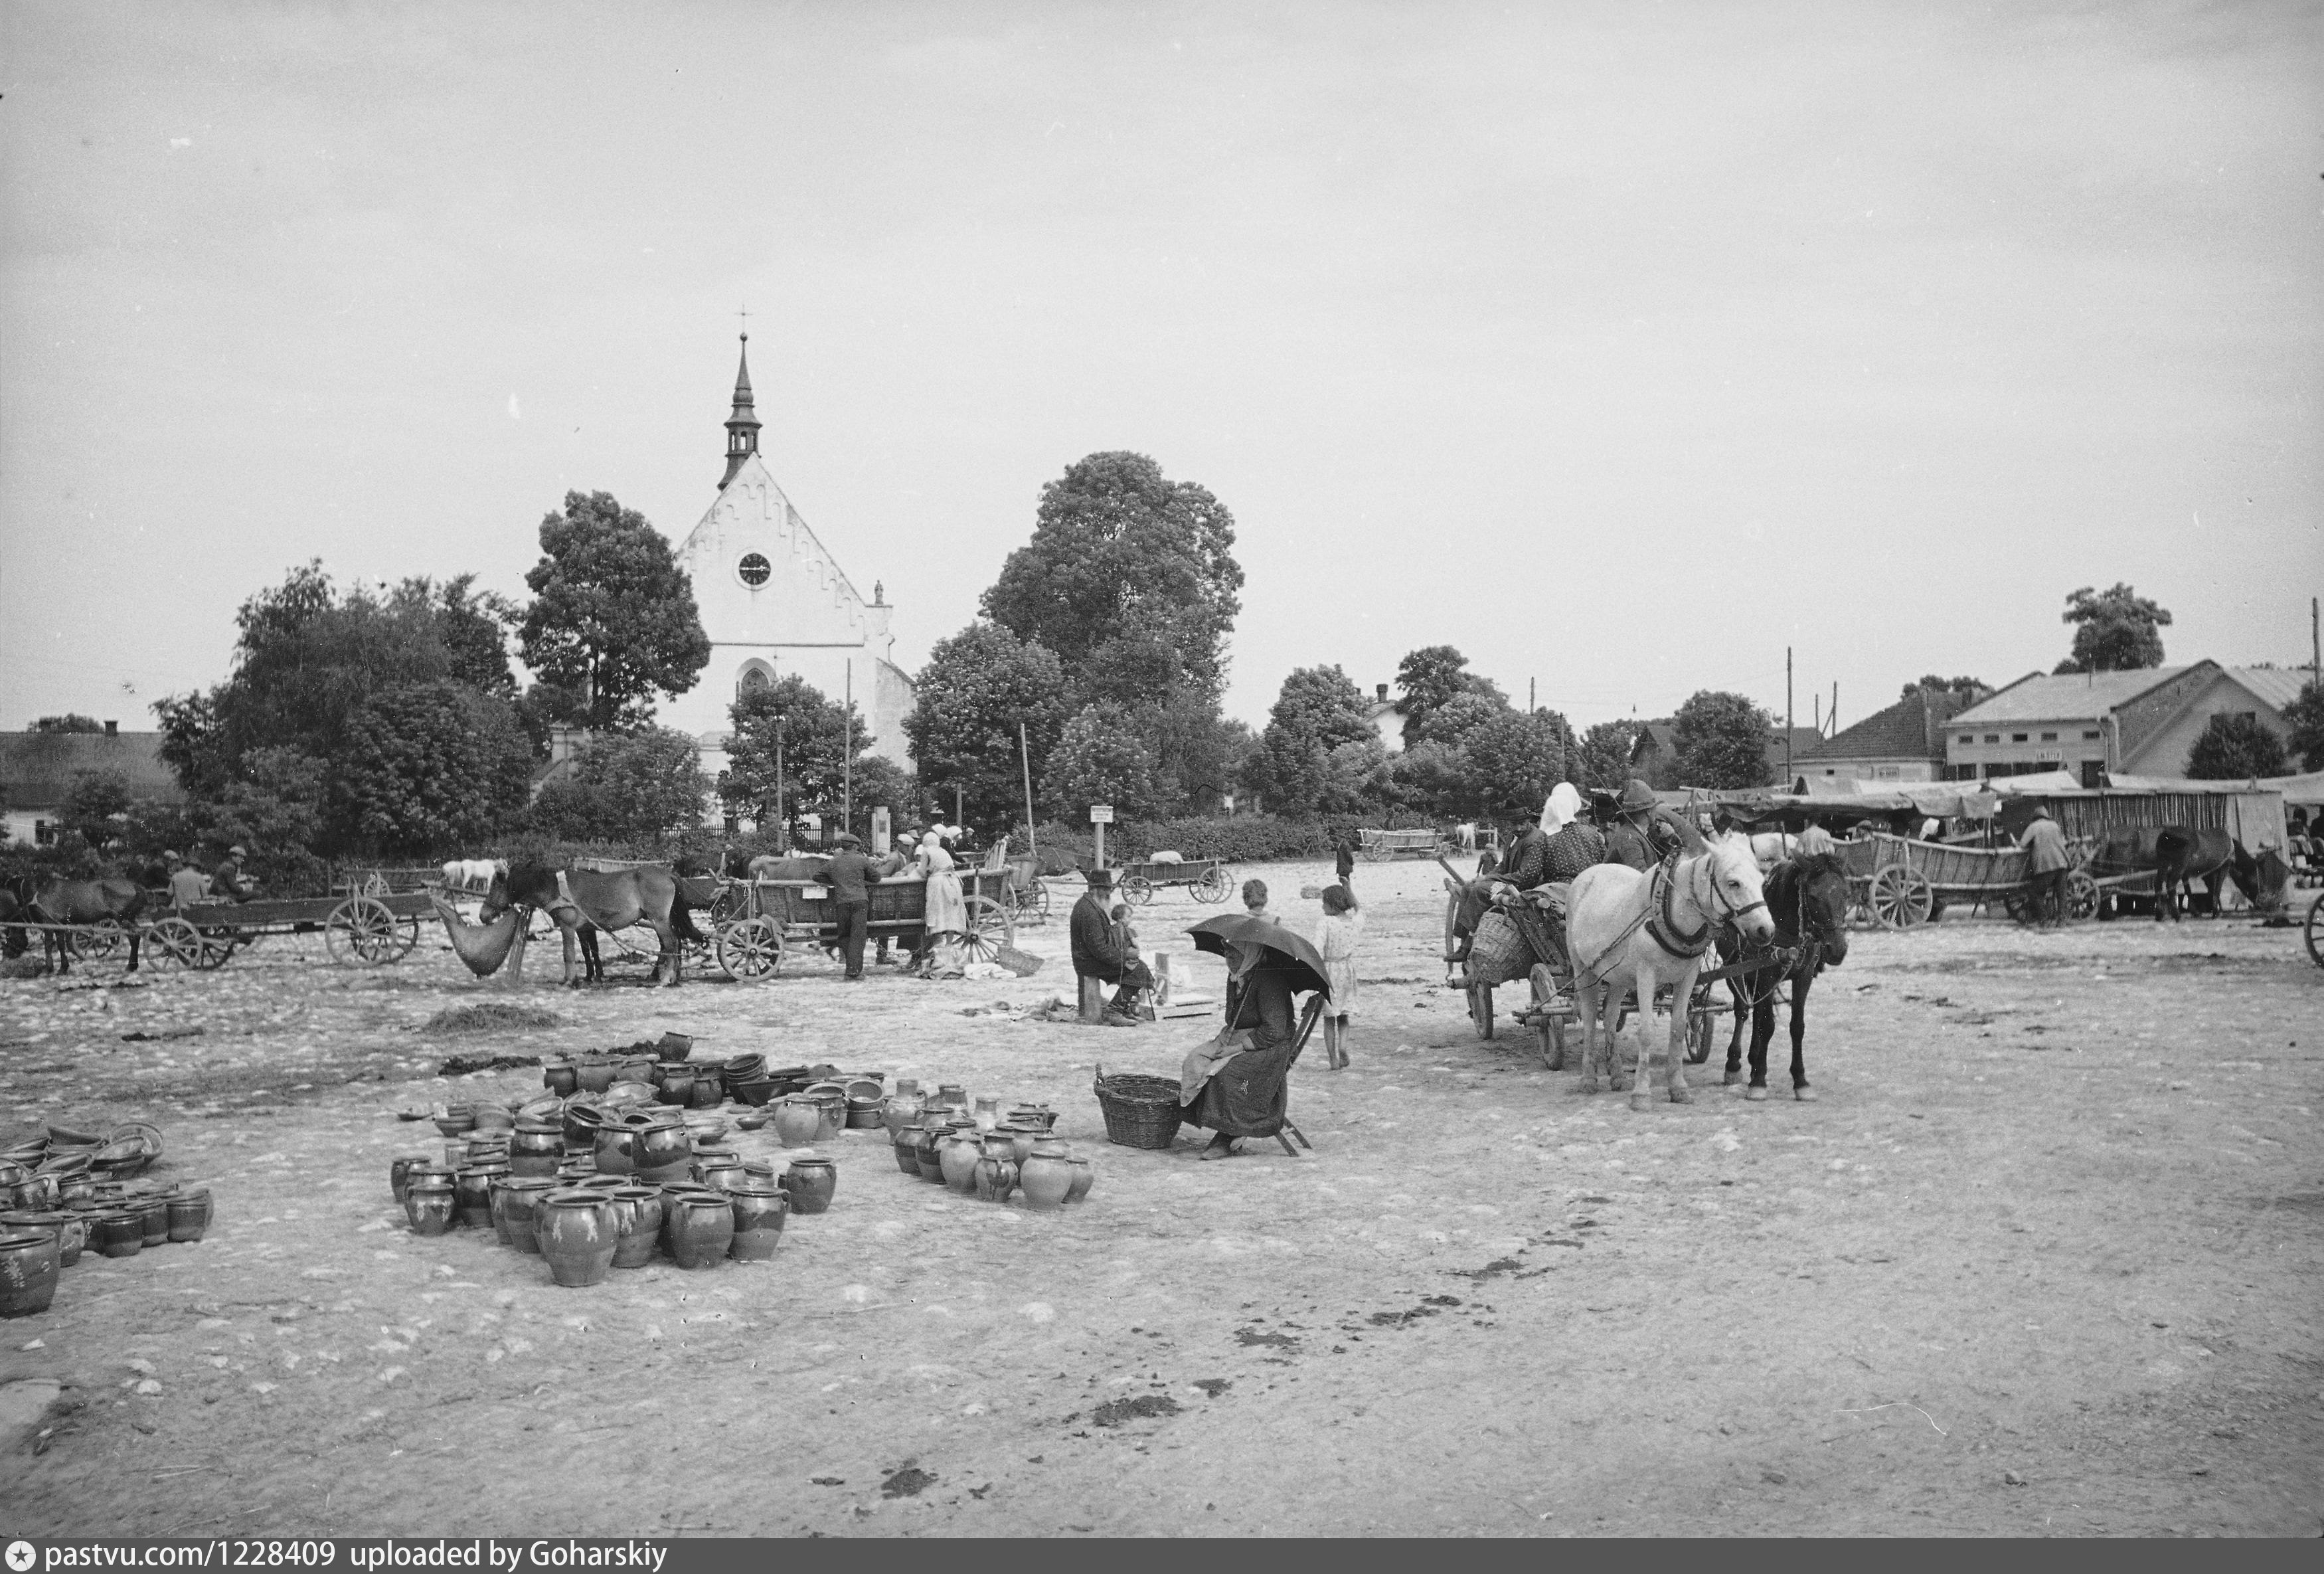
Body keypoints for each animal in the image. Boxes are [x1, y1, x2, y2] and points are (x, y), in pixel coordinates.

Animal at [4, 869, 146, 972]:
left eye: (10, 933)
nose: (8, 953)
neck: (37, 893)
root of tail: (136, 886)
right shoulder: (60, 925)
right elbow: (62, 945)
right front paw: (63, 967)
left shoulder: (48, 923)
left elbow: (48, 945)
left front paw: (50, 968)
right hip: (131, 919)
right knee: (137, 937)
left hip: (123, 919)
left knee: (134, 939)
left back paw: (131, 965)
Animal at [483, 860, 702, 981]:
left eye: (495, 886)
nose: (483, 915)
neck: (555, 889)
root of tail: (668, 874)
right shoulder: (584, 928)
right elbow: (588, 952)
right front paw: (590, 976)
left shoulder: (568, 926)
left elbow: (569, 954)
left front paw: (570, 980)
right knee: (674, 942)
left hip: (659, 919)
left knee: (671, 943)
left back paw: (666, 978)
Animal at [1571, 818, 1766, 1111]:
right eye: (1734, 883)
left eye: (1763, 880)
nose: (1766, 930)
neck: (1672, 914)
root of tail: (1588, 874)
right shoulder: (1646, 975)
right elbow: (1647, 1032)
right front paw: (1641, 1093)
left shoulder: (1687, 977)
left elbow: (1678, 1027)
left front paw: (1678, 1088)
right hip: (1584, 972)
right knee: (1590, 1018)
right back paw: (1588, 1079)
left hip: (1618, 977)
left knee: (1611, 1016)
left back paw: (1616, 1075)